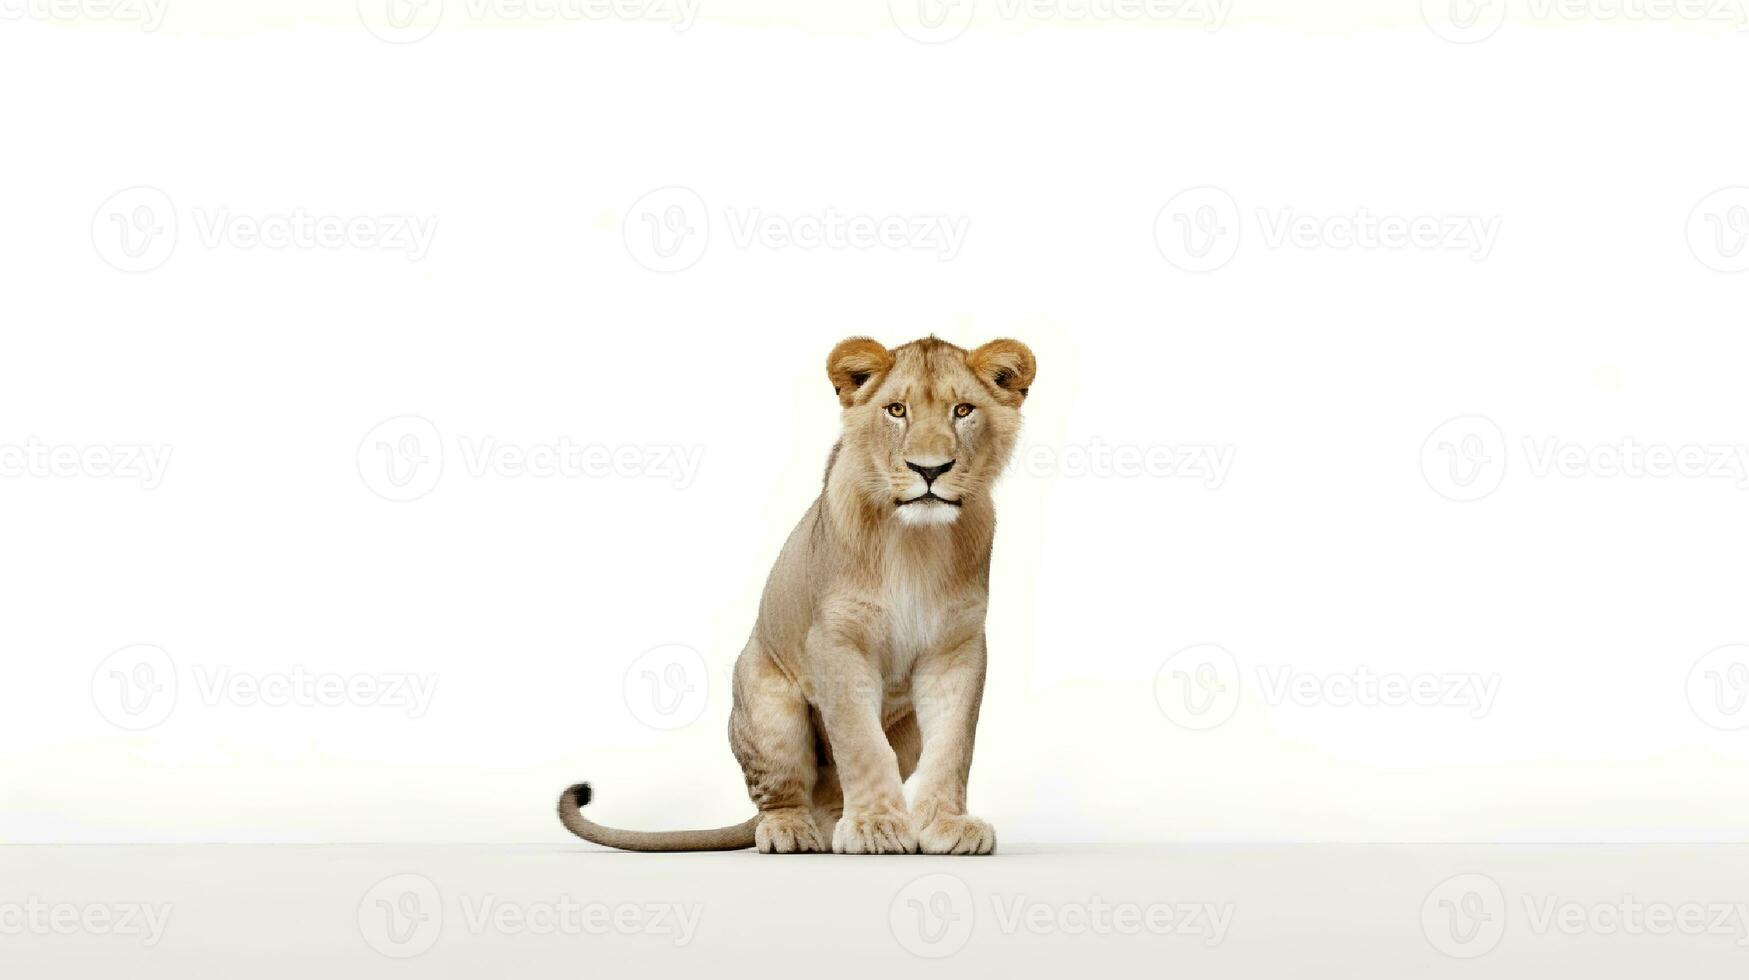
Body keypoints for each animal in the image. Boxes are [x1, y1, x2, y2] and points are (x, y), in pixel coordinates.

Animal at [552, 334, 1028, 850]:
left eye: (963, 410)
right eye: (896, 410)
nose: (930, 469)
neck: (916, 541)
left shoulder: (956, 647)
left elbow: (953, 746)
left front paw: (946, 826)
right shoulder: (835, 640)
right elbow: (861, 744)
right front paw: (876, 825)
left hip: (906, 734)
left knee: (834, 794)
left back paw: (837, 827)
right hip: (767, 703)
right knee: (783, 795)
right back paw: (793, 831)